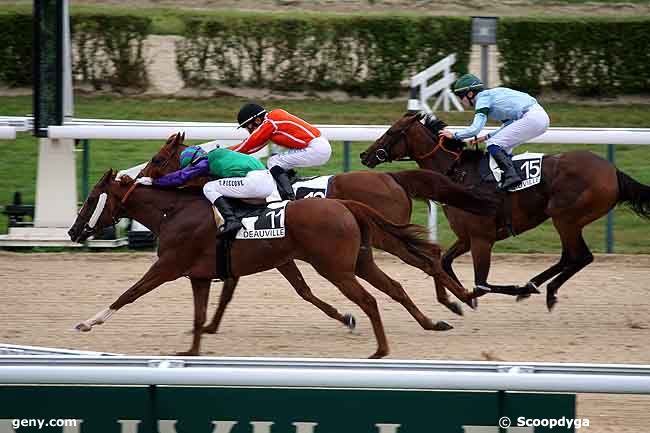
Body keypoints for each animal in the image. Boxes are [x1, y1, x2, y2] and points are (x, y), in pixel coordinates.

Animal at [68, 169, 456, 358]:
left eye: (91, 197)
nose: (73, 231)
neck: (174, 211)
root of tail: (344, 204)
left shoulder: (168, 267)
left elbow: (129, 294)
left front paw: (88, 322)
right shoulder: (200, 276)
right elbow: (199, 314)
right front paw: (193, 349)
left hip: (336, 268)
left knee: (371, 298)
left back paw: (382, 348)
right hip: (359, 262)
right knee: (395, 286)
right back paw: (433, 321)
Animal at [140, 132, 496, 314]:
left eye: (158, 159)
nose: (141, 175)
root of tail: (391, 177)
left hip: (384, 234)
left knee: (427, 257)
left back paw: (458, 299)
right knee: (429, 255)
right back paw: (456, 300)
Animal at [362, 109, 648, 308]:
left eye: (391, 132)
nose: (365, 155)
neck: (458, 174)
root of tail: (612, 171)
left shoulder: (482, 238)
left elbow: (481, 284)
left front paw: (477, 296)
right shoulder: (466, 237)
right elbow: (445, 262)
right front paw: (461, 299)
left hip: (565, 218)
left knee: (580, 257)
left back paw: (539, 289)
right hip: (568, 221)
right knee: (571, 256)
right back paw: (537, 285)